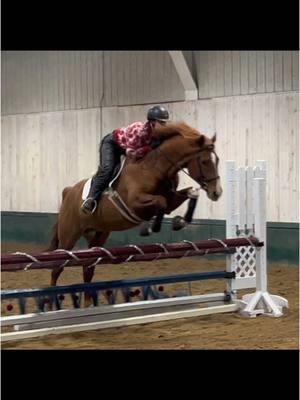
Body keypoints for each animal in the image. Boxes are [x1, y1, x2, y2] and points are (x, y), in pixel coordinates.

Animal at [47, 121, 223, 296]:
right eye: (205, 161)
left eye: (217, 160)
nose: (217, 192)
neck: (155, 168)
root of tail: (68, 191)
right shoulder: (135, 203)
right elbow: (160, 202)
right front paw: (150, 228)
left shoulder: (171, 199)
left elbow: (189, 194)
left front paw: (180, 222)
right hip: (69, 236)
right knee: (57, 268)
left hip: (98, 234)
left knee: (88, 269)